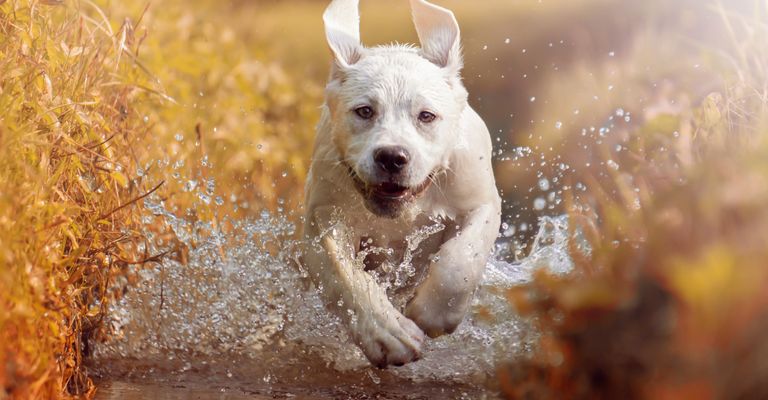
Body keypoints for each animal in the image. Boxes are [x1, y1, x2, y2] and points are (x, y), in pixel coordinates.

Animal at [304, 0, 500, 368]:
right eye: (364, 111)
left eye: (426, 116)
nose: (392, 157)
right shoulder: (323, 217)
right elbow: (344, 274)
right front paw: (387, 333)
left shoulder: (480, 202)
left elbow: (461, 261)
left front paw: (432, 313)